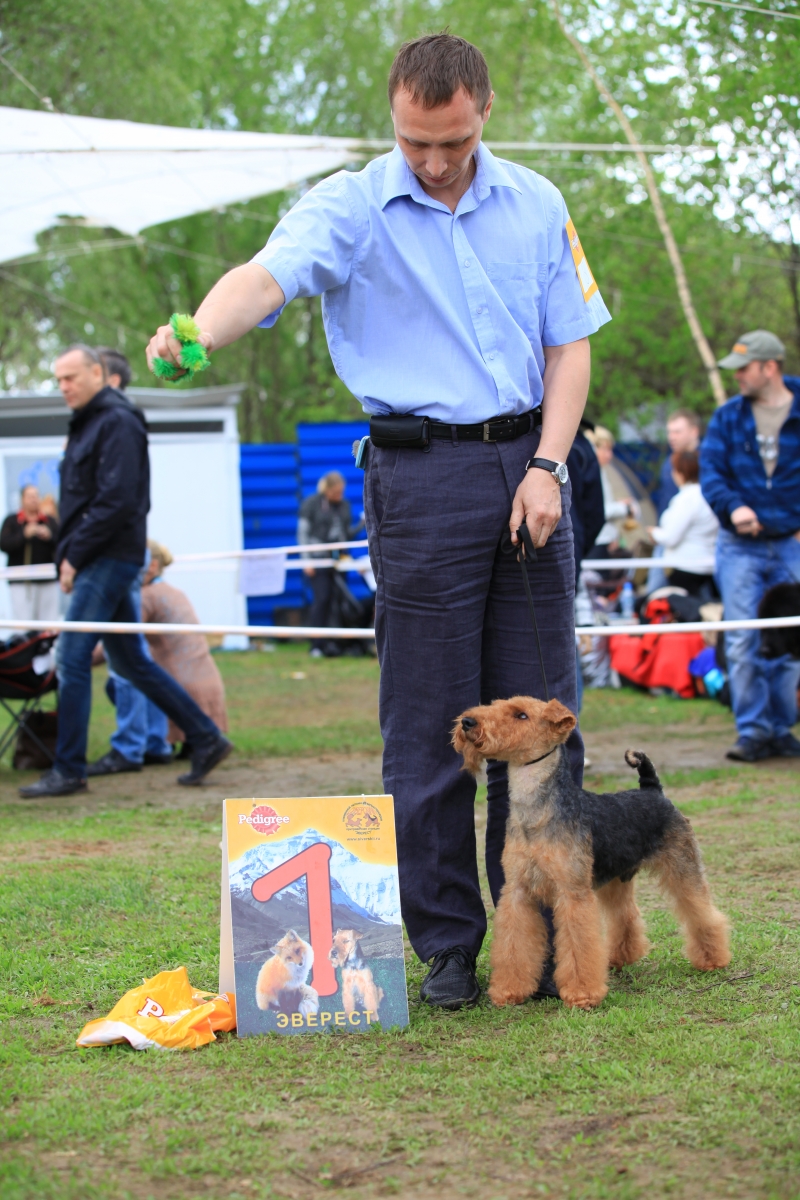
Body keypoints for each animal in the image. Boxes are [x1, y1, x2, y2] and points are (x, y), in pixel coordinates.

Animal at [453, 696, 729, 1012]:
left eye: (521, 715)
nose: (467, 722)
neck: (536, 809)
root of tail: (653, 791)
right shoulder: (517, 891)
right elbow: (514, 947)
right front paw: (509, 990)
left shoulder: (573, 893)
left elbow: (578, 946)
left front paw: (582, 994)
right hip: (616, 879)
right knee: (626, 916)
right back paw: (621, 957)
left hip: (681, 867)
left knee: (702, 913)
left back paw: (713, 959)